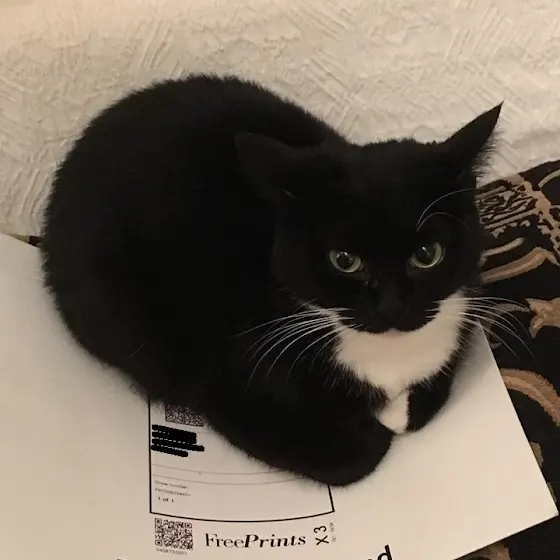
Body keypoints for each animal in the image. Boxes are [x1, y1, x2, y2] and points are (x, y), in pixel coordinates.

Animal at [41, 74, 501, 486]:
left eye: (427, 254)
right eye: (344, 260)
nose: (391, 306)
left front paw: (401, 411)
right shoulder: (228, 376)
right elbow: (352, 455)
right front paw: (374, 430)